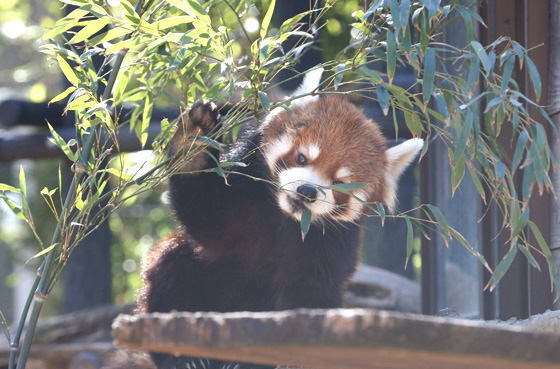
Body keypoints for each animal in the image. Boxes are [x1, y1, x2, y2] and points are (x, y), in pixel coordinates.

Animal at [129, 69, 422, 368]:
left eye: (340, 183)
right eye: (301, 158)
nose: (307, 191)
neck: (284, 216)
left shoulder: (330, 243)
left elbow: (311, 293)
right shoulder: (238, 198)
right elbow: (208, 221)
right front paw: (194, 139)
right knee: (170, 266)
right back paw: (180, 356)